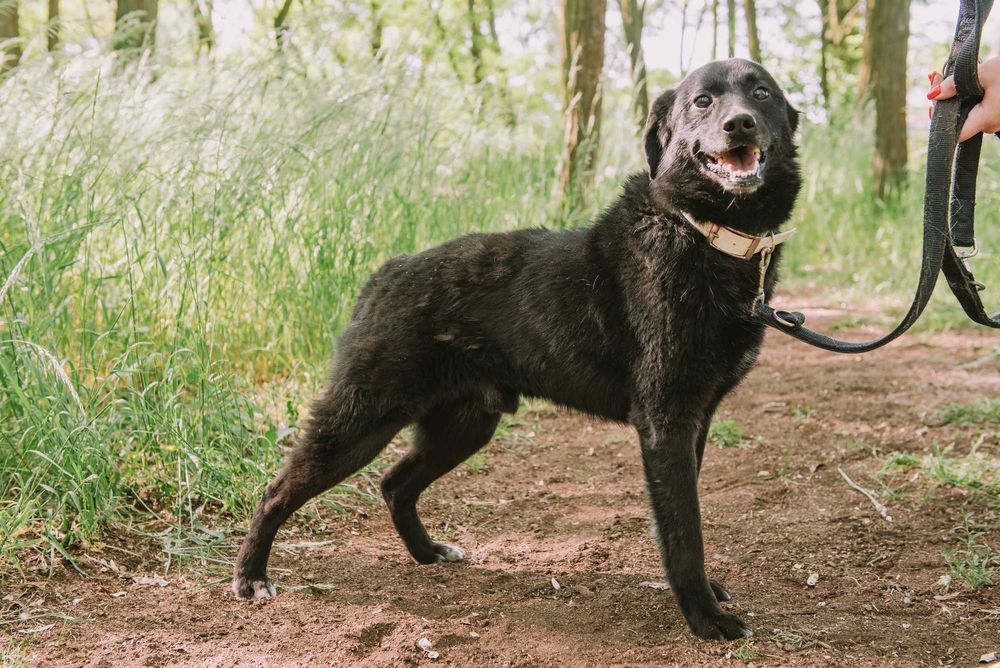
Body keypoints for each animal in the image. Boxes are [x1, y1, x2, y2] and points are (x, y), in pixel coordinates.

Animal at [232, 58, 796, 640]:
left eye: (761, 93)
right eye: (703, 101)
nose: (740, 123)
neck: (702, 232)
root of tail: (387, 272)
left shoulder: (695, 420)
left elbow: (684, 520)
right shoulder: (667, 422)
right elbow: (684, 533)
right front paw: (704, 616)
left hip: (463, 427)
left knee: (394, 484)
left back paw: (427, 552)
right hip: (361, 421)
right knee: (277, 490)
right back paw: (251, 576)